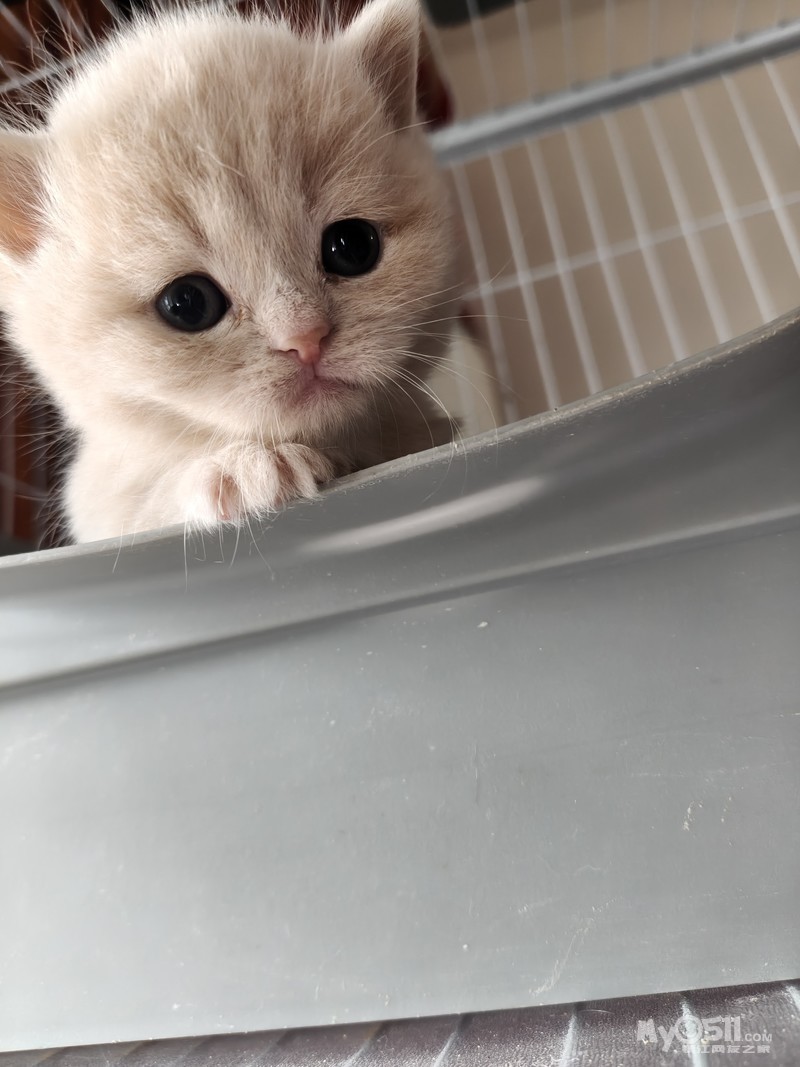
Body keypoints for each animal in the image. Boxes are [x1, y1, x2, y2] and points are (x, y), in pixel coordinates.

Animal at [0, 0, 461, 543]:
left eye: (353, 247)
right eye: (186, 303)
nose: (306, 339)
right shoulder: (98, 507)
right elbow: (149, 500)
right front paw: (247, 468)